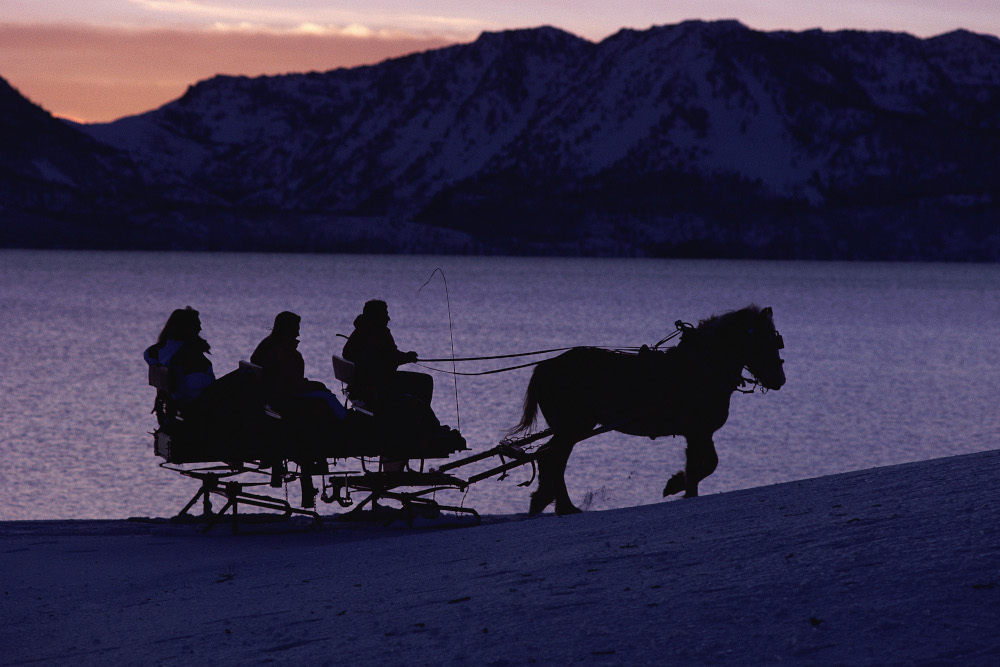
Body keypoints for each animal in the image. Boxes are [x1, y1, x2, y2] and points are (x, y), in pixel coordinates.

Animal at [512, 306, 784, 516]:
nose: (780, 380)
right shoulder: (699, 431)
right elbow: (705, 466)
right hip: (573, 426)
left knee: (548, 458)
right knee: (554, 460)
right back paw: (565, 506)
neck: (702, 368)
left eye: (776, 341)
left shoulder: (697, 433)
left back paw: (545, 500)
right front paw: (676, 485)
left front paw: (683, 487)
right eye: (765, 341)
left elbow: (699, 466)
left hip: (570, 428)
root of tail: (546, 366)